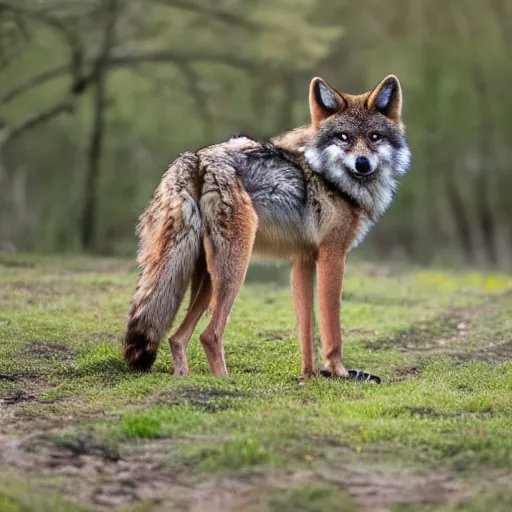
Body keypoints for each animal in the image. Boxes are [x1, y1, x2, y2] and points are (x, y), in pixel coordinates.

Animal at [124, 75, 412, 380]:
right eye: (344, 137)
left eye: (374, 137)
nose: (362, 163)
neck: (332, 179)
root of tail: (196, 157)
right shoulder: (332, 255)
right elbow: (331, 327)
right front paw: (339, 372)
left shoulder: (303, 259)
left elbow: (306, 330)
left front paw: (309, 376)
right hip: (235, 268)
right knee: (209, 335)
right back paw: (226, 382)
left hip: (207, 278)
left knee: (177, 337)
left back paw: (184, 378)